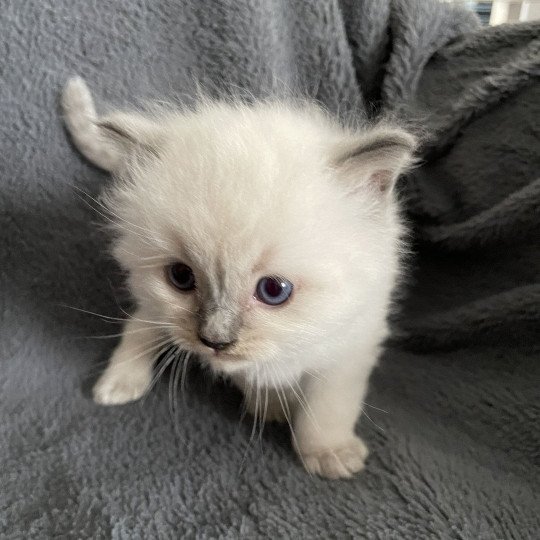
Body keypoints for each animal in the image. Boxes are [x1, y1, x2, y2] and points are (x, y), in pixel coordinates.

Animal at [64, 76, 418, 476]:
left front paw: (329, 453)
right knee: (139, 325)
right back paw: (117, 386)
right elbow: (260, 379)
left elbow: (327, 406)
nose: (214, 340)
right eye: (181, 277)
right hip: (157, 308)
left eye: (274, 290)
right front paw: (274, 407)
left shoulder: (352, 343)